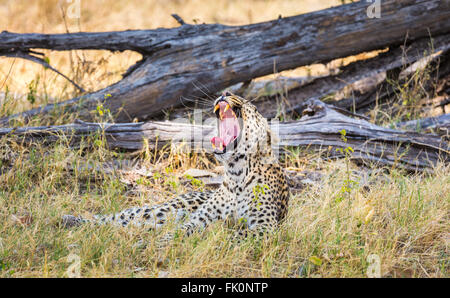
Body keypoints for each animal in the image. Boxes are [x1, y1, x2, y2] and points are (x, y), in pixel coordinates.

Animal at [62, 92, 288, 241]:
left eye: (252, 107)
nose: (226, 92)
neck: (236, 173)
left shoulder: (265, 226)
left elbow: (232, 235)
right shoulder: (200, 219)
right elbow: (180, 231)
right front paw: (161, 243)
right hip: (164, 210)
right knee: (119, 217)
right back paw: (67, 219)